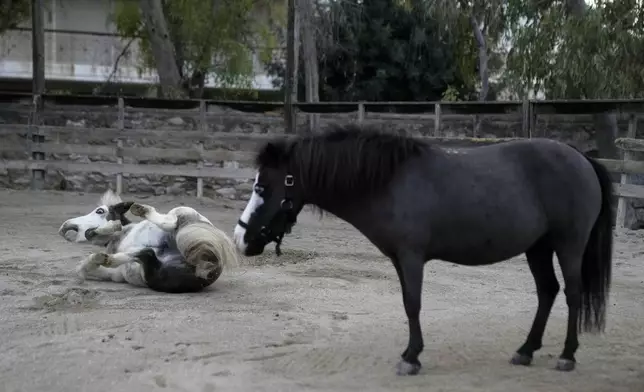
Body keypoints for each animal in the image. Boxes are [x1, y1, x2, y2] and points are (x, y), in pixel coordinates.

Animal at [57, 190, 239, 294]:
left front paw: (110, 226)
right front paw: (92, 261)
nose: (66, 226)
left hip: (186, 216)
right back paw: (105, 258)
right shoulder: (114, 274)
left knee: (170, 222)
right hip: (152, 272)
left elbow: (91, 233)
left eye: (100, 211)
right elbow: (82, 268)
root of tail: (204, 262)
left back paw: (141, 210)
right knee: (147, 253)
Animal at [233, 125, 612, 376]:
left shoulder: (412, 257)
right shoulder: (399, 260)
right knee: (547, 292)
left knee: (572, 294)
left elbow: (413, 304)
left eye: (263, 187)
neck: (388, 181)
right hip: (538, 248)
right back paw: (525, 350)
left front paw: (411, 358)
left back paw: (567, 356)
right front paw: (410, 352)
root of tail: (580, 158)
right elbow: (407, 303)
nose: (240, 239)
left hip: (569, 245)